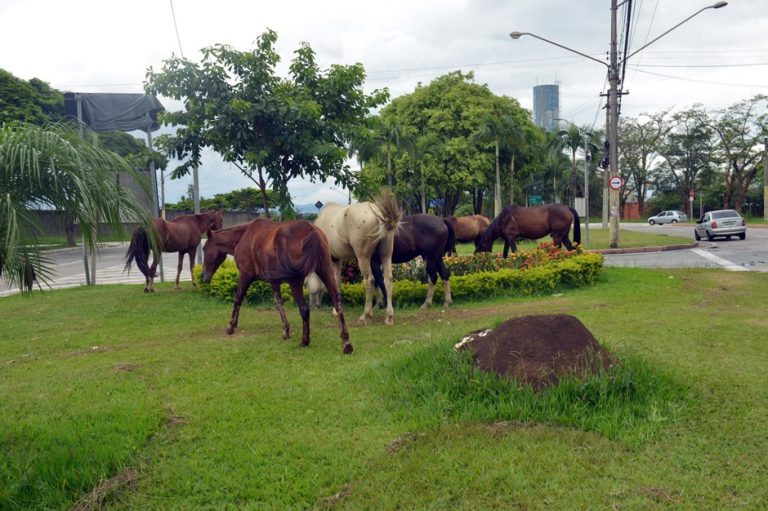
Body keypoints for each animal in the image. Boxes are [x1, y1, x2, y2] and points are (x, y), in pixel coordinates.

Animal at [200, 218, 352, 354]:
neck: (245, 236)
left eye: (204, 248)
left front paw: (231, 326)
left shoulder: (245, 275)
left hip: (295, 282)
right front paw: (286, 330)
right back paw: (346, 342)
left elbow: (237, 299)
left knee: (304, 308)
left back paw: (305, 341)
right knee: (337, 303)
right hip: (326, 272)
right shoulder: (274, 281)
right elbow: (278, 303)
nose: (204, 276)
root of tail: (311, 230)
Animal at [312, 190, 402, 326]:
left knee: (369, 281)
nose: (316, 305)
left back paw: (365, 315)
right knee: (388, 279)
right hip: (386, 255)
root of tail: (379, 214)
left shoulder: (331, 259)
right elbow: (337, 281)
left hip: (363, 258)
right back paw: (389, 317)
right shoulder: (337, 259)